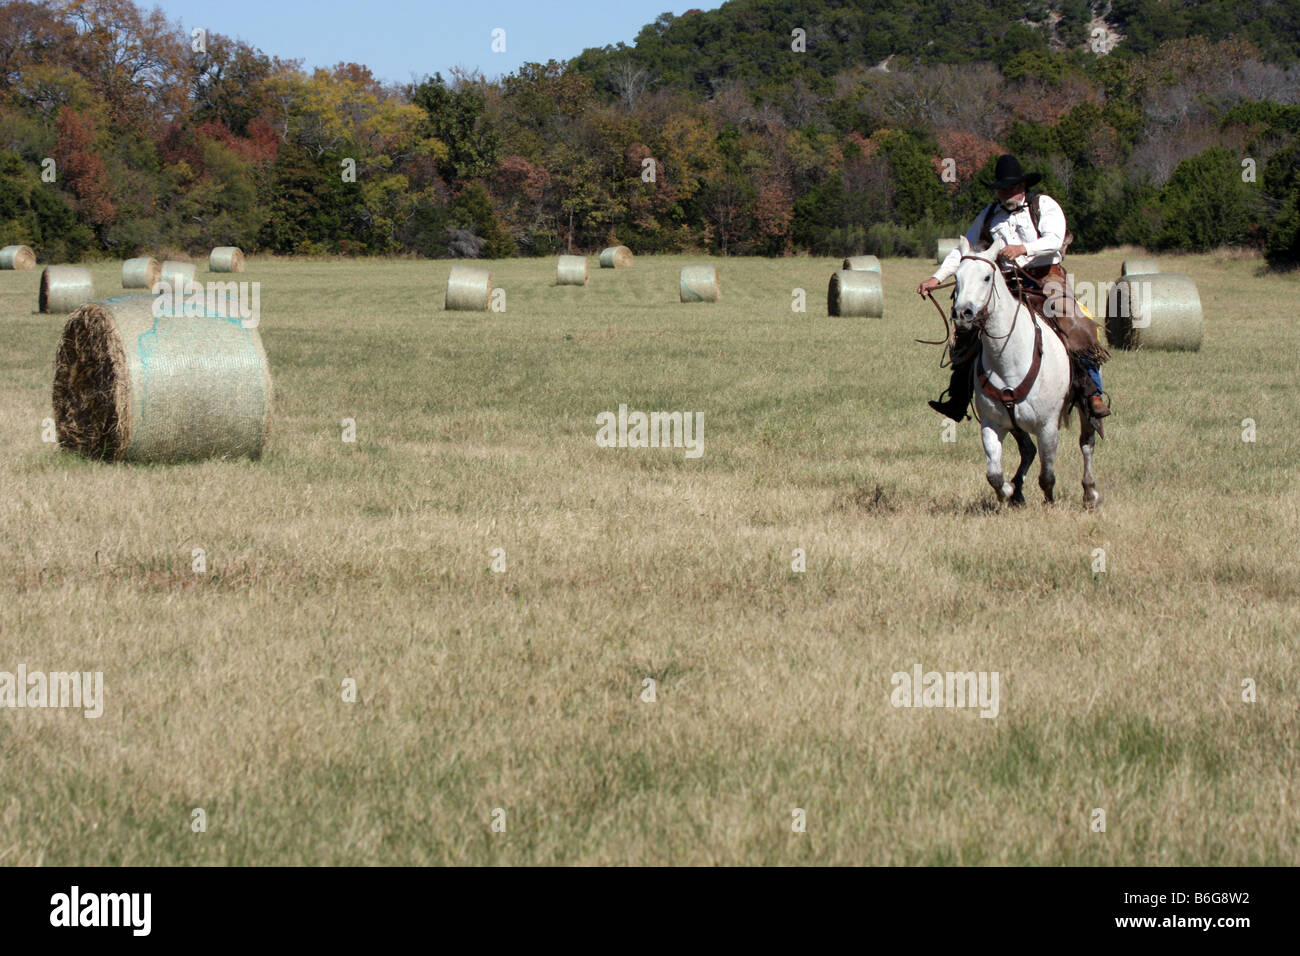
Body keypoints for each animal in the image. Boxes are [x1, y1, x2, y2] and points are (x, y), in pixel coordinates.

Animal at [951, 236, 1102, 512]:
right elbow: (994, 474)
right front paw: (1008, 490)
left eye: (987, 277)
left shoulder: (1047, 426)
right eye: (957, 276)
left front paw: (1049, 501)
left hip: (1084, 406)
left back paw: (1090, 493)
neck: (1008, 359)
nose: (962, 314)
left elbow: (1047, 475)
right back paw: (1018, 492)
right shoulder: (992, 423)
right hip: (1015, 424)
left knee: (1087, 443)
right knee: (1028, 450)